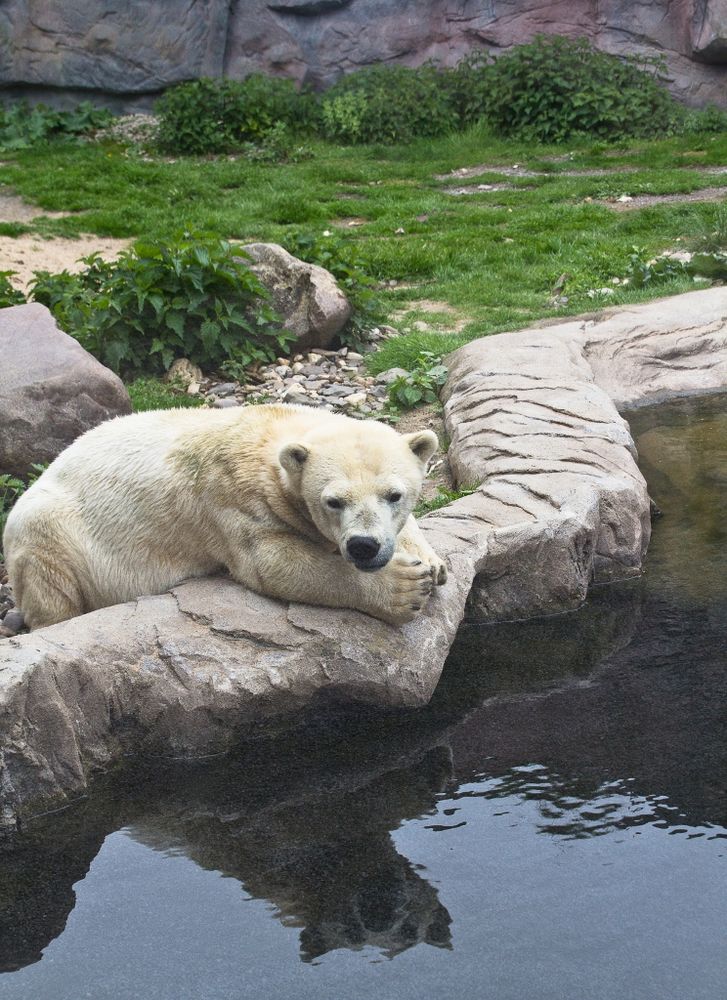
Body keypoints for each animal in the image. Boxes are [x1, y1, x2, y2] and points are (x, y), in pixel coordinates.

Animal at [4, 402, 450, 628]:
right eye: (333, 501)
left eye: (394, 495)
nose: (363, 546)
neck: (270, 427)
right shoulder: (234, 498)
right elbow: (272, 563)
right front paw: (404, 587)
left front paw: (431, 561)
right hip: (50, 526)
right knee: (48, 579)